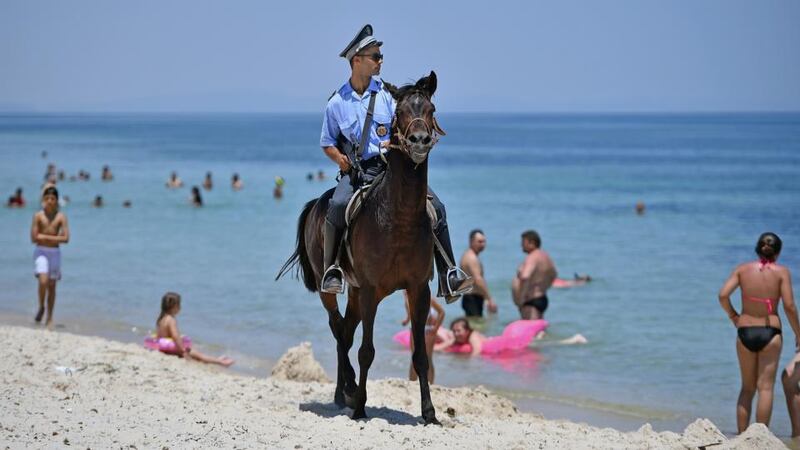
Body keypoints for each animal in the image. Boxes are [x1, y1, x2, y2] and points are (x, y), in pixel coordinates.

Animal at [276, 72, 444, 424]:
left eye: (431, 109)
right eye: (400, 113)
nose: (419, 141)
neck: (398, 218)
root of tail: (317, 202)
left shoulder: (417, 289)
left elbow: (420, 355)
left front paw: (429, 412)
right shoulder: (370, 289)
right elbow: (366, 351)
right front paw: (361, 407)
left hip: (355, 293)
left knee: (346, 331)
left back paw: (344, 392)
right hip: (334, 289)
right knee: (338, 330)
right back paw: (350, 392)